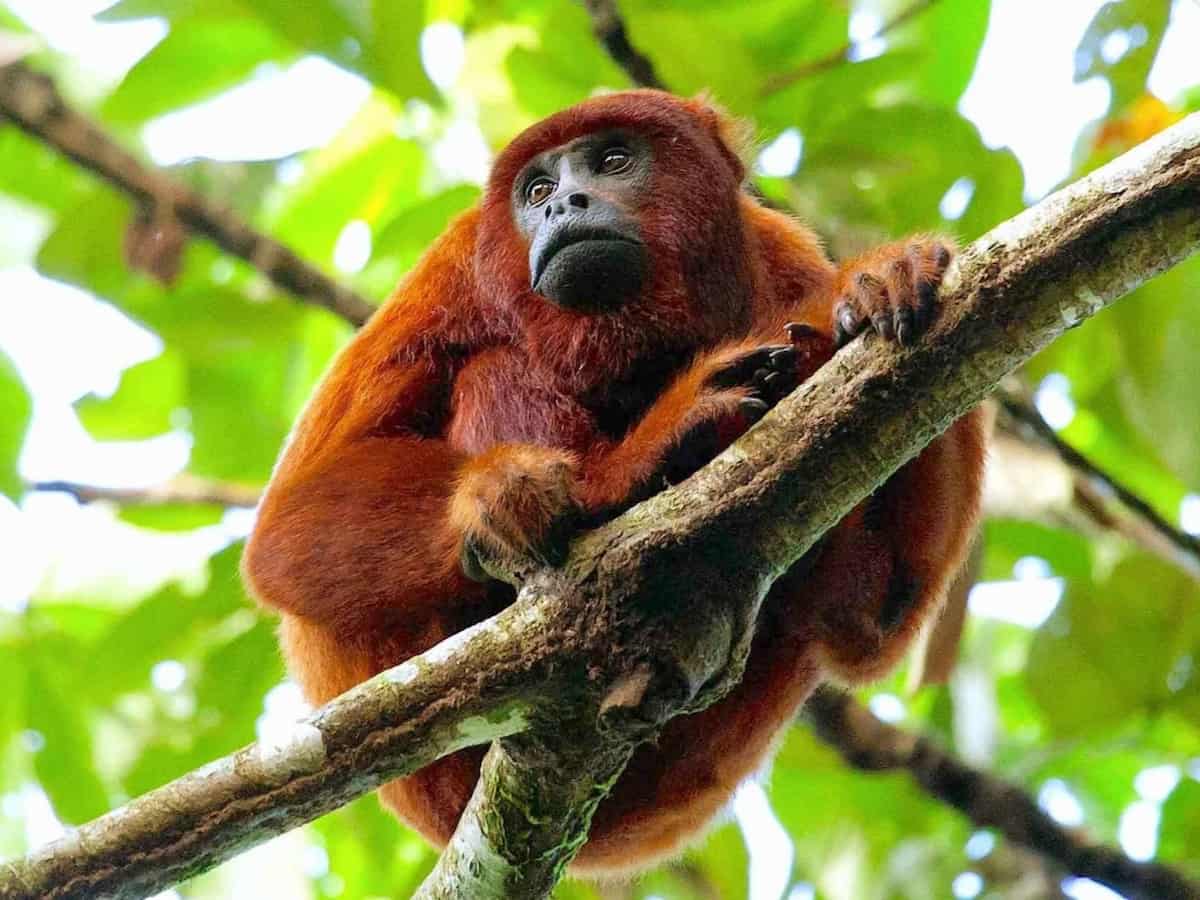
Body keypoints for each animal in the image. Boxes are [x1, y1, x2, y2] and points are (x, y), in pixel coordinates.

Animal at [243, 89, 986, 874]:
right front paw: (517, 497)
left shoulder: (783, 255)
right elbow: (282, 535)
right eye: (536, 190)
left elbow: (876, 621)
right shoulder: (452, 271)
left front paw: (886, 278)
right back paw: (623, 477)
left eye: (614, 160)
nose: (566, 203)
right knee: (493, 366)